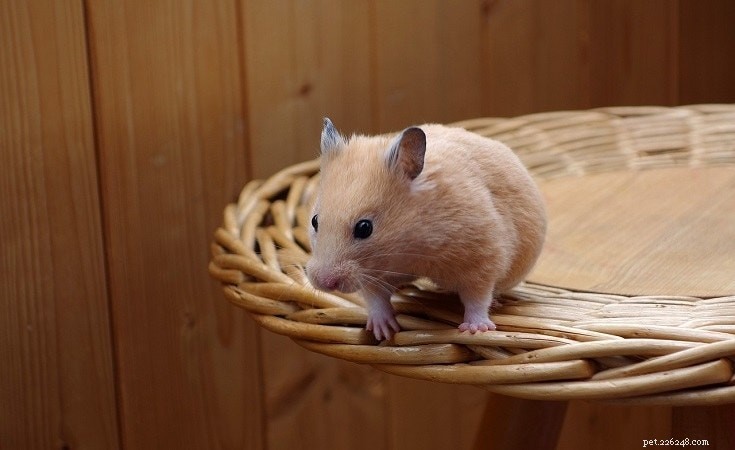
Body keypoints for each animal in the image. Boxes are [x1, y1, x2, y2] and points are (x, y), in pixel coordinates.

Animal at [306, 118, 546, 341]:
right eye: (315, 221)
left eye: (365, 228)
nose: (325, 283)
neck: (410, 247)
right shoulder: (371, 275)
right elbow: (376, 298)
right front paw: (383, 331)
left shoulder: (483, 258)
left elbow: (477, 297)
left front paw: (475, 330)